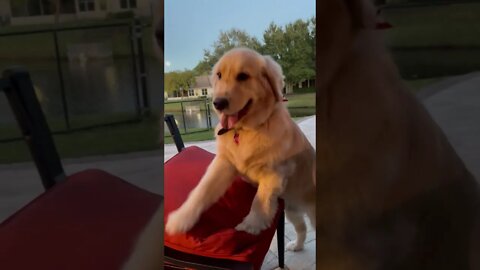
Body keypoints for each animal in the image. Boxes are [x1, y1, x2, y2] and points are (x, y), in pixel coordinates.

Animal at [165, 47, 316, 252]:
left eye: (243, 76)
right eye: (219, 75)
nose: (218, 103)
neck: (245, 130)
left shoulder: (274, 174)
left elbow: (260, 201)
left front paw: (249, 227)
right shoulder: (224, 163)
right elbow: (201, 190)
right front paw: (180, 219)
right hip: (292, 208)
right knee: (302, 227)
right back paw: (297, 246)